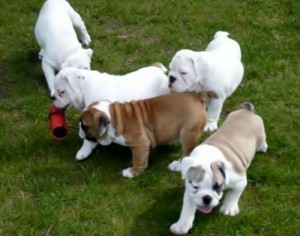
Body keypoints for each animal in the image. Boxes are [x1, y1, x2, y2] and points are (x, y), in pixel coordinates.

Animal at [77, 91, 218, 178]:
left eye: (84, 125)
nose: (79, 130)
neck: (114, 117)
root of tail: (197, 96)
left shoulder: (140, 144)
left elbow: (138, 160)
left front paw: (132, 172)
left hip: (188, 134)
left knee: (186, 153)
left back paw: (177, 165)